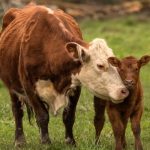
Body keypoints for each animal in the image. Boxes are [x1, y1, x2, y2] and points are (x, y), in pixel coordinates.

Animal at [0, 3, 129, 146]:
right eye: (100, 65)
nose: (123, 91)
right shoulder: (28, 86)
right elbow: (42, 115)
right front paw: (46, 143)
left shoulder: (75, 85)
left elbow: (68, 116)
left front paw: (70, 141)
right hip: (12, 86)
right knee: (17, 111)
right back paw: (19, 140)